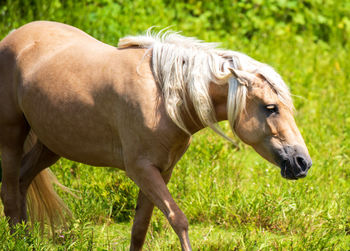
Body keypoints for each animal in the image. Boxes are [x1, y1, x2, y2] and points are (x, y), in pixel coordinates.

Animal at [0, 21, 312, 249]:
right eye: (270, 108)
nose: (303, 162)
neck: (164, 99)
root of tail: (15, 36)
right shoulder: (141, 169)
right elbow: (178, 219)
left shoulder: (162, 170)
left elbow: (140, 227)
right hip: (12, 137)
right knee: (10, 192)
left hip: (50, 144)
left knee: (22, 182)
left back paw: (26, 238)